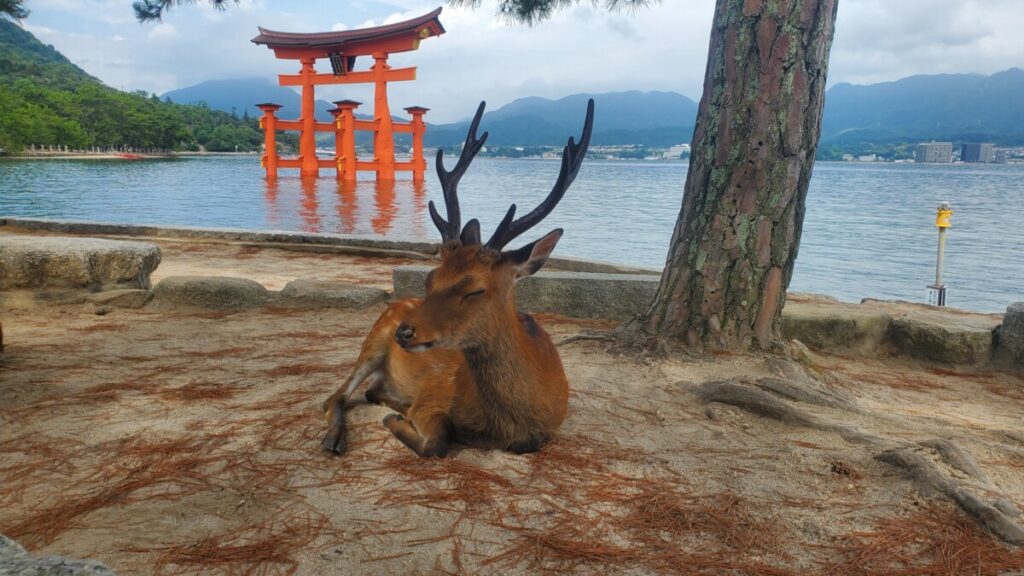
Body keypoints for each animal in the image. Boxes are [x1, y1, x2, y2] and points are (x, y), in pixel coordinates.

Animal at [317, 98, 593, 457]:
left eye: (474, 289)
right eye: (430, 279)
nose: (405, 332)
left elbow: (529, 443)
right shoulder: (433, 393)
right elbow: (436, 441)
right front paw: (396, 421)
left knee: (369, 390)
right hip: (373, 338)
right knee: (336, 396)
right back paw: (336, 437)